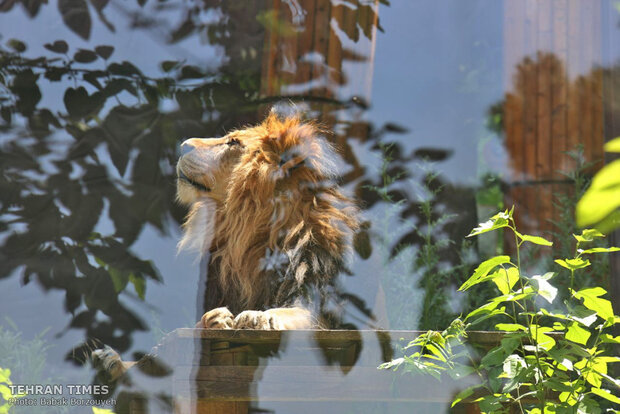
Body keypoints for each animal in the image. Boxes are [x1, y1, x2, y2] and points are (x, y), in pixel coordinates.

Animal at [94, 110, 360, 382]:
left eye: (233, 143)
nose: (183, 145)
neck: (248, 235)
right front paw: (214, 319)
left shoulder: (314, 293)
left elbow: (299, 315)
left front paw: (258, 317)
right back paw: (108, 362)